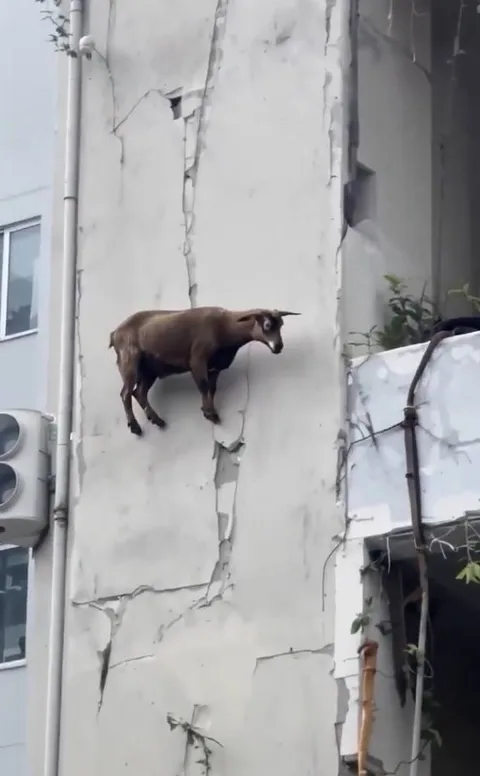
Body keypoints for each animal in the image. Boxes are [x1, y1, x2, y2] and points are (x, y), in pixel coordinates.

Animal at [109, 306, 299, 436]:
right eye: (267, 325)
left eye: (281, 324)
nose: (278, 346)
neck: (224, 326)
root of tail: (114, 334)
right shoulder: (198, 359)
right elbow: (203, 385)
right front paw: (209, 413)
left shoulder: (215, 368)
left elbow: (212, 388)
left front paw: (211, 412)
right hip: (129, 361)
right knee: (125, 393)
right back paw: (135, 426)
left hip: (149, 371)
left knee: (139, 392)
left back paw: (157, 420)